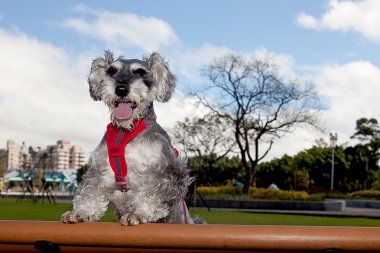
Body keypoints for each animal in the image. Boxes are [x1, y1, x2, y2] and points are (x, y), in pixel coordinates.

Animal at [61, 51, 196, 225]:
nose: (121, 89)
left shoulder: (169, 171)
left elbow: (152, 194)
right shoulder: (98, 169)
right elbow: (90, 191)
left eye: (140, 72)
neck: (125, 131)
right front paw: (80, 212)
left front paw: (139, 213)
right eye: (111, 71)